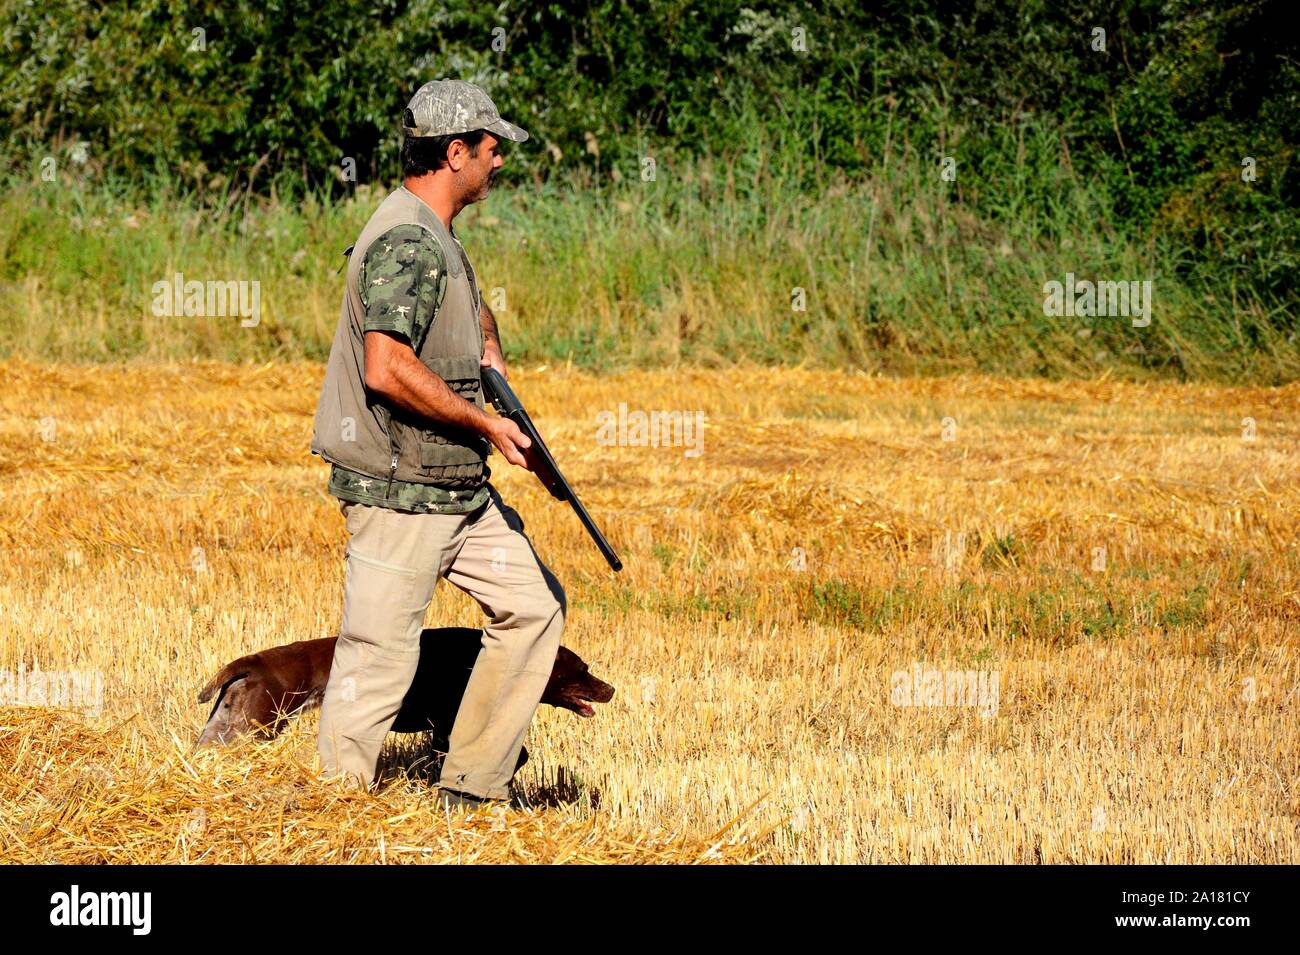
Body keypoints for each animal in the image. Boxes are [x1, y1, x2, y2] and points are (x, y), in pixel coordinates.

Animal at [196, 631, 613, 774]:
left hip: (225, 728)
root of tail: (252, 662)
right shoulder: (448, 724)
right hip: (259, 725)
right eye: (583, 670)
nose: (611, 689)